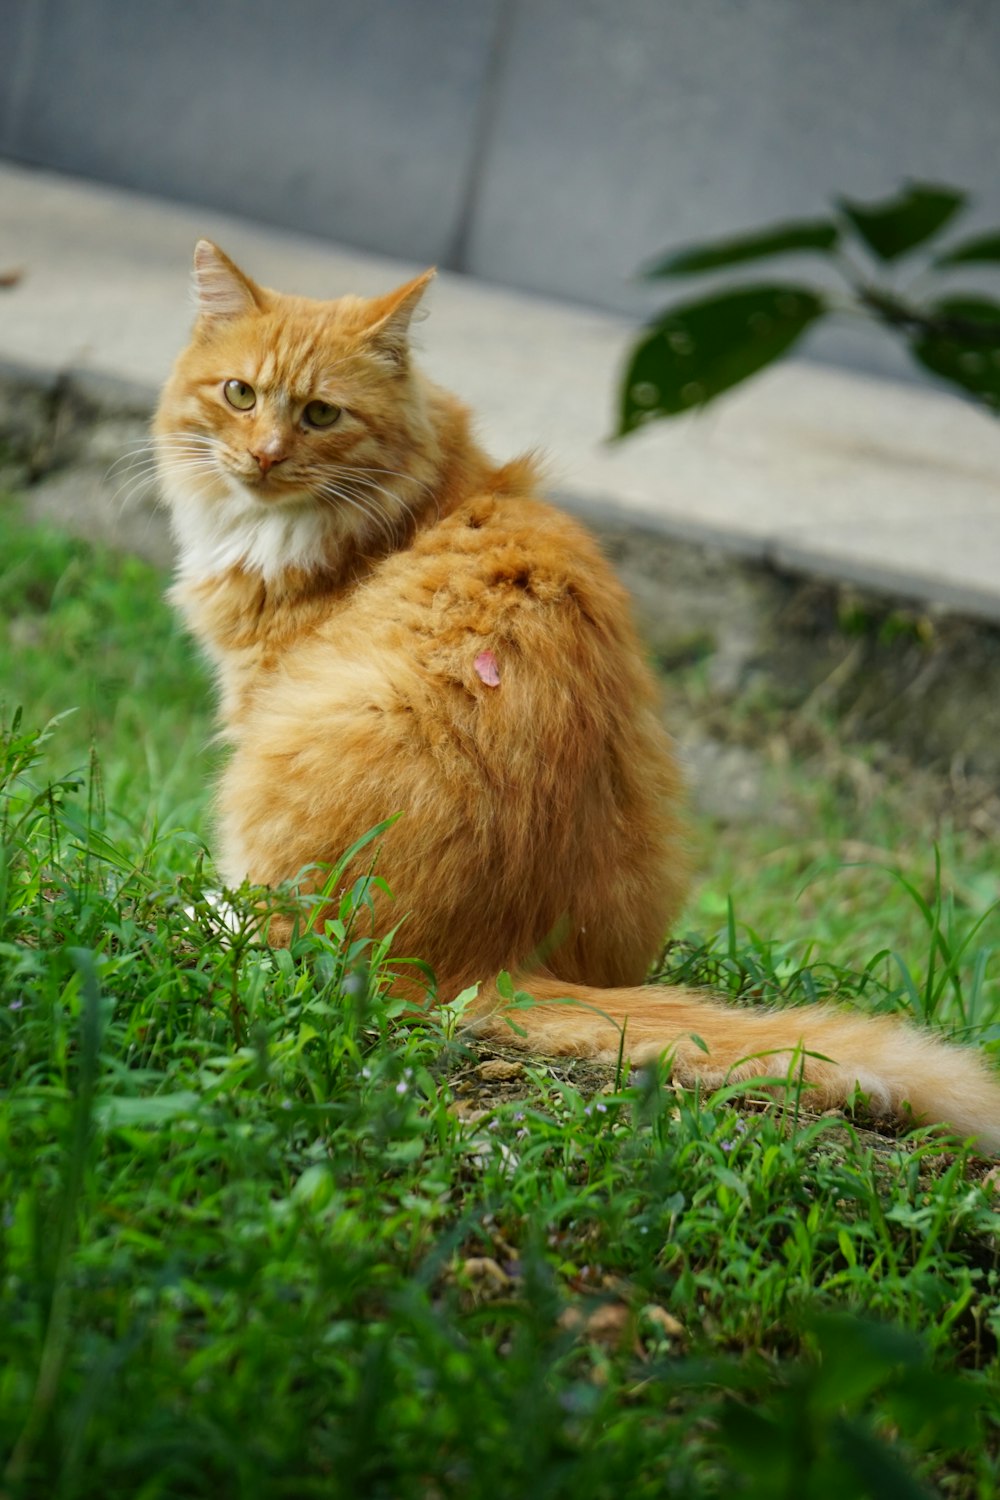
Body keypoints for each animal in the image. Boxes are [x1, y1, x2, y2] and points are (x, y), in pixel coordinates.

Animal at [152, 240, 1000, 1146]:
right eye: (240, 395)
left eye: (319, 415)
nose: (264, 456)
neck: (416, 502)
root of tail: (480, 957)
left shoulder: (257, 694)